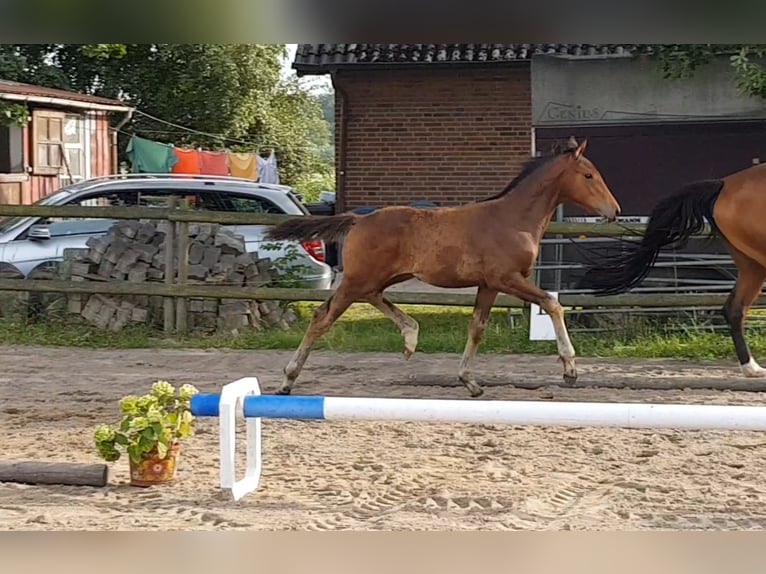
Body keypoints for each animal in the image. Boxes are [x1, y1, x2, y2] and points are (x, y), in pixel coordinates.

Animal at [268, 141, 620, 398]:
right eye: (588, 175)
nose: (614, 211)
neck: (512, 219)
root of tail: (358, 219)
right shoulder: (506, 278)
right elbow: (552, 302)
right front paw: (570, 369)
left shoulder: (489, 284)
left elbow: (477, 327)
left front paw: (470, 382)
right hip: (357, 279)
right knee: (322, 317)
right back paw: (287, 380)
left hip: (377, 278)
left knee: (372, 298)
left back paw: (410, 336)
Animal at [580, 160, 766, 380]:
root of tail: (723, 184)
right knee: (735, 310)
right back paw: (752, 368)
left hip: (752, 266)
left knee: (735, 310)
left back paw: (751, 368)